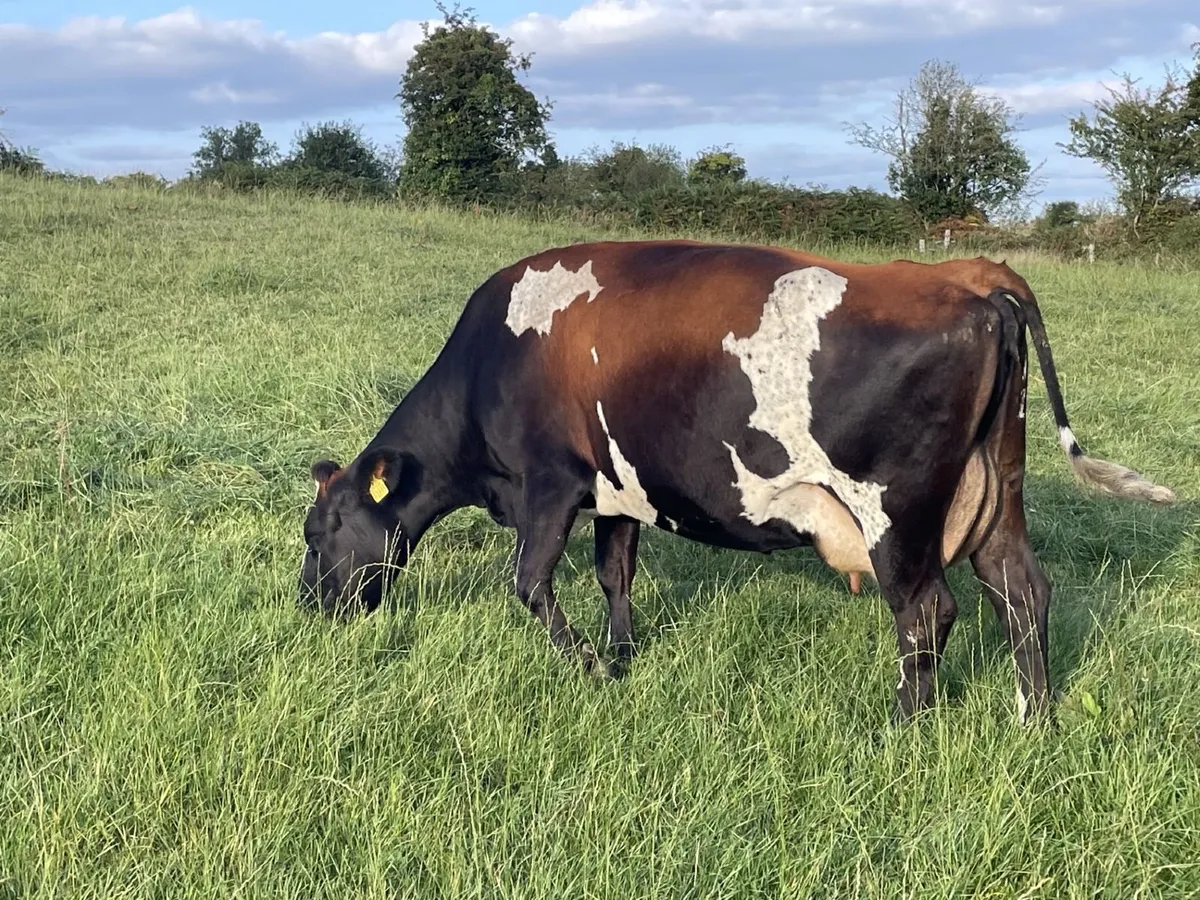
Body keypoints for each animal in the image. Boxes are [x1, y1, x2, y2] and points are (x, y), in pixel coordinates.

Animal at [298, 240, 1175, 723]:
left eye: (319, 531)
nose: (309, 607)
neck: (494, 361)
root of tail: (967, 274)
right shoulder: (618, 487)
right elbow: (614, 572)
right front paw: (622, 656)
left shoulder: (550, 484)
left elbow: (532, 583)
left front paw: (587, 667)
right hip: (997, 496)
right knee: (1021, 591)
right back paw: (1036, 719)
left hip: (895, 511)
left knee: (927, 613)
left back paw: (902, 727)